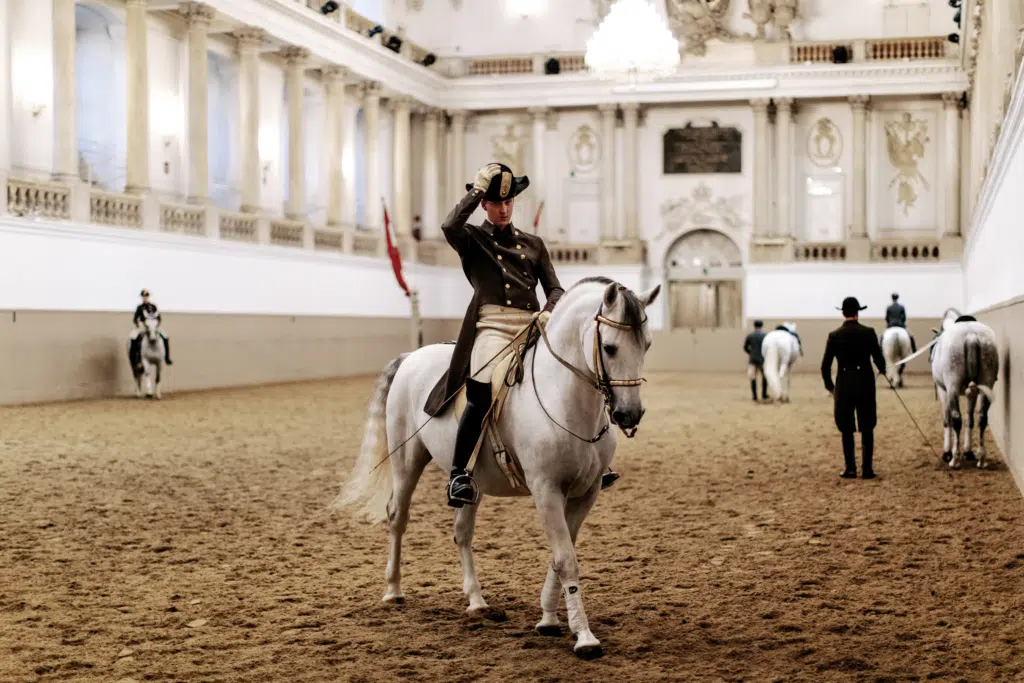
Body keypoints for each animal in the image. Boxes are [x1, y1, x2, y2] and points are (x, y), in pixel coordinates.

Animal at [933, 309, 995, 471]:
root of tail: (971, 335)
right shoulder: (971, 393)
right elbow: (970, 419)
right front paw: (968, 451)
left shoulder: (943, 391)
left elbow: (947, 420)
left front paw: (947, 453)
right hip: (986, 385)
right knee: (982, 417)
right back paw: (981, 459)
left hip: (953, 386)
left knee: (956, 419)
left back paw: (954, 459)